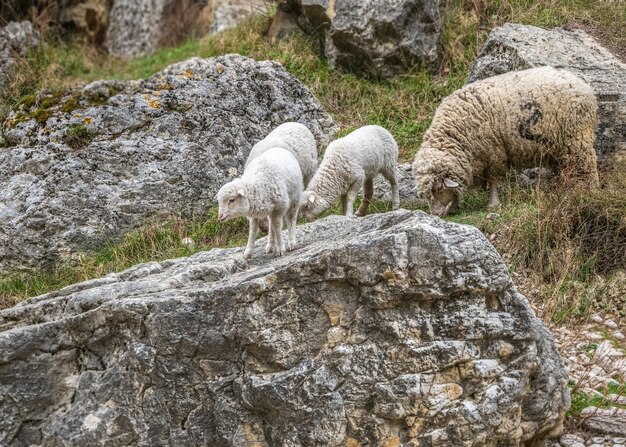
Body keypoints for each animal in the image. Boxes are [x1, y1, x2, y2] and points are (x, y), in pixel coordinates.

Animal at [412, 66, 596, 219]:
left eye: (438, 188)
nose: (435, 214)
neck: (455, 134)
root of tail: (585, 87)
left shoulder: (493, 152)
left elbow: (493, 179)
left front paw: (493, 204)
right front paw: (453, 207)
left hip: (577, 138)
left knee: (587, 166)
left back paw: (584, 191)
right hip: (560, 147)